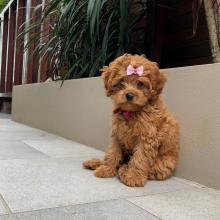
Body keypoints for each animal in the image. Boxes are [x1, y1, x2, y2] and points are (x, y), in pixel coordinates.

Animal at [83, 54, 180, 186]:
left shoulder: (147, 137)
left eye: (140, 84)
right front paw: (106, 169)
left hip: (163, 164)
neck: (130, 112)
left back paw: (124, 170)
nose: (129, 95)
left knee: (143, 169)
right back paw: (95, 163)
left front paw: (134, 177)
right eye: (121, 82)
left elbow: (140, 157)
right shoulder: (116, 134)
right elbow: (112, 152)